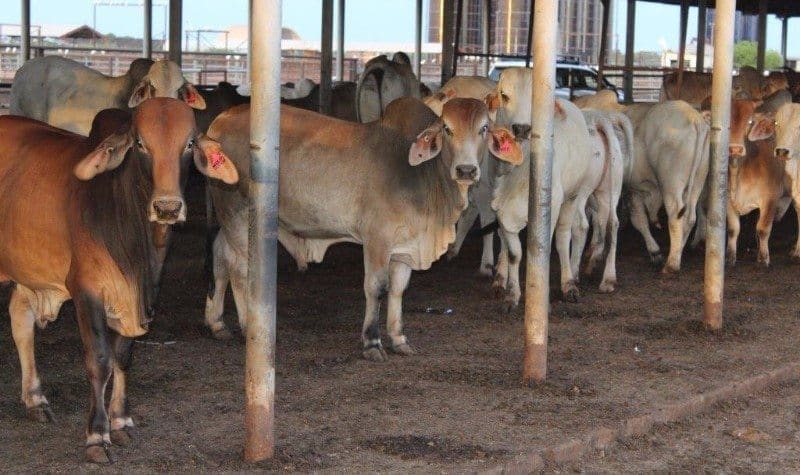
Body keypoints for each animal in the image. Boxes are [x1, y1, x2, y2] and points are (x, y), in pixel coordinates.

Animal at [0, 97, 238, 464]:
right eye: (140, 144)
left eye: (188, 144)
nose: (167, 207)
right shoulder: (86, 291)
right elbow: (100, 360)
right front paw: (97, 436)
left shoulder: (142, 297)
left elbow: (124, 355)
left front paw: (121, 421)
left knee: (20, 318)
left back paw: (35, 399)